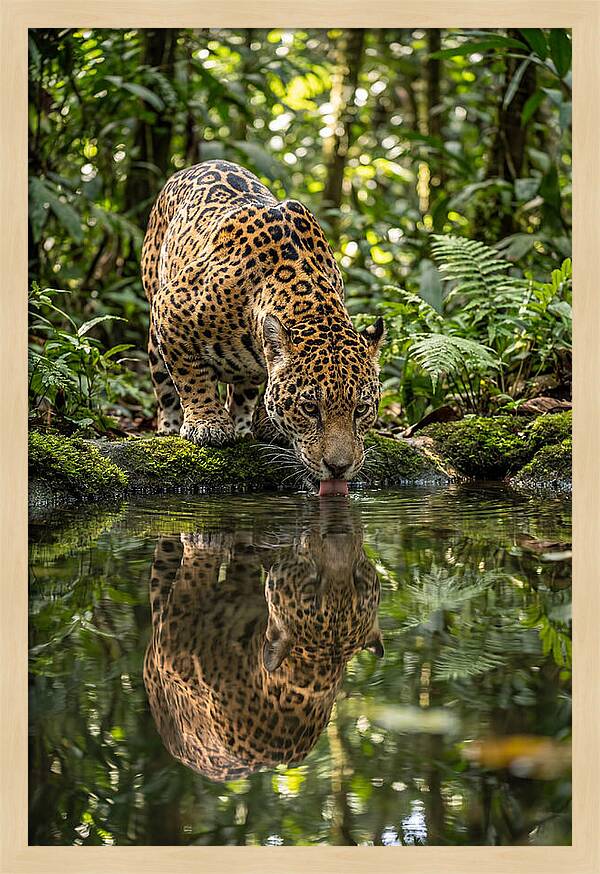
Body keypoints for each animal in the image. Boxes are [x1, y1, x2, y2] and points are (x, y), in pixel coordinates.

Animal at [141, 160, 385, 491]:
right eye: (310, 408)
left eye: (361, 409)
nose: (339, 468)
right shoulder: (170, 308)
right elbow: (192, 377)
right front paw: (208, 424)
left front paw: (267, 425)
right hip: (154, 316)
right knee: (164, 384)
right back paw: (170, 425)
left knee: (243, 389)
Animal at [143, 505, 383, 781]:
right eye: (312, 585)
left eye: (358, 581)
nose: (339, 532)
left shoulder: (172, 643)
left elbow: (197, 572)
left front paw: (205, 541)